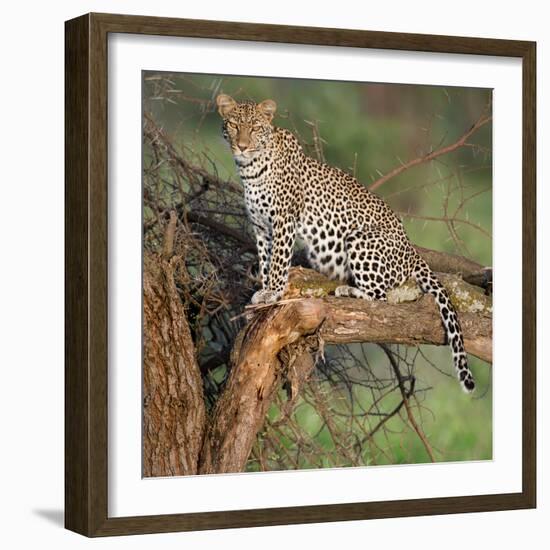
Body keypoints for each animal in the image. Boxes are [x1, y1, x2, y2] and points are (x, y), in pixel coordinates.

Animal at [218, 94, 476, 392]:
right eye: (234, 125)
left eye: (256, 128)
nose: (242, 146)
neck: (250, 170)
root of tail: (413, 252)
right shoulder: (261, 227)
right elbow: (265, 259)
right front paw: (262, 289)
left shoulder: (283, 220)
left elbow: (278, 263)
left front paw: (273, 293)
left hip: (359, 239)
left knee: (382, 297)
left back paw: (349, 291)